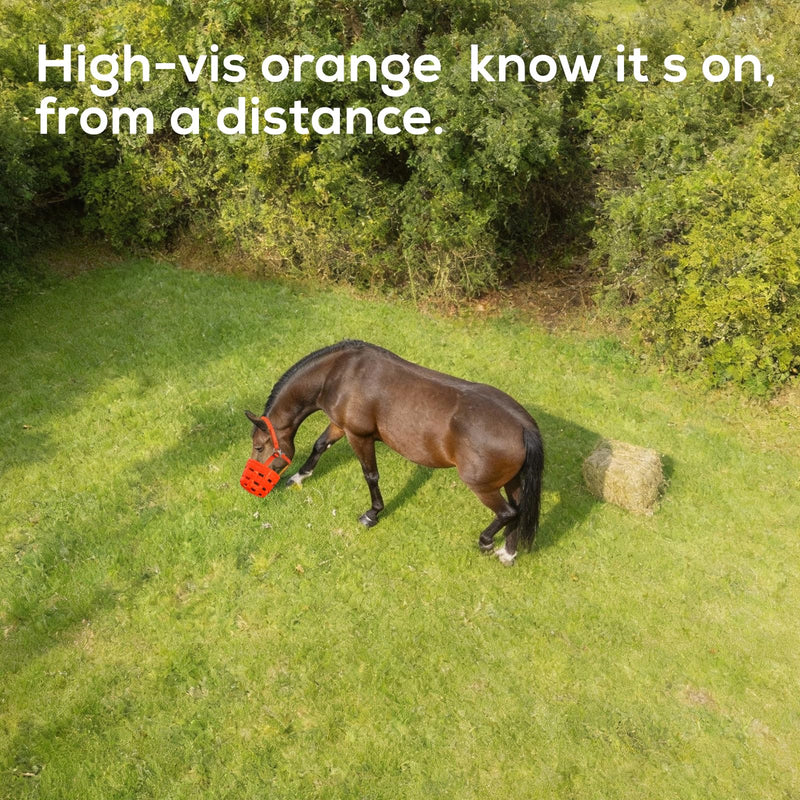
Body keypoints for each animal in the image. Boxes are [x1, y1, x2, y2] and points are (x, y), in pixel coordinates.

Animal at [242, 340, 544, 565]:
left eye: (259, 447)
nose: (248, 486)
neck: (340, 374)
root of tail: (523, 425)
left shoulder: (359, 436)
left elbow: (371, 475)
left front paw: (372, 514)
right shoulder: (339, 425)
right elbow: (320, 445)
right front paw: (299, 477)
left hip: (482, 486)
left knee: (507, 512)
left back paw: (486, 541)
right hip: (512, 481)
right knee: (518, 510)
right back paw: (508, 553)